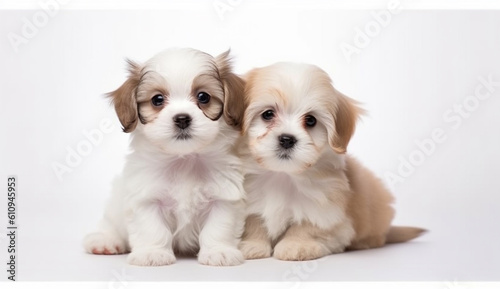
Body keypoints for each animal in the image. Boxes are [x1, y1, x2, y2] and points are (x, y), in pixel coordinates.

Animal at [84, 47, 248, 266]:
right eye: (157, 100)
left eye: (203, 97)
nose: (182, 118)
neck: (184, 158)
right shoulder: (146, 198)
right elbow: (152, 228)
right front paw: (152, 253)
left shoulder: (223, 197)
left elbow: (219, 227)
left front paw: (219, 251)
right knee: (110, 222)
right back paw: (105, 241)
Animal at [236, 62, 424, 260]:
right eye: (268, 114)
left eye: (311, 120)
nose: (287, 139)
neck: (283, 174)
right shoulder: (250, 200)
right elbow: (254, 221)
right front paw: (251, 245)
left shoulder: (327, 210)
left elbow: (307, 226)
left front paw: (297, 245)